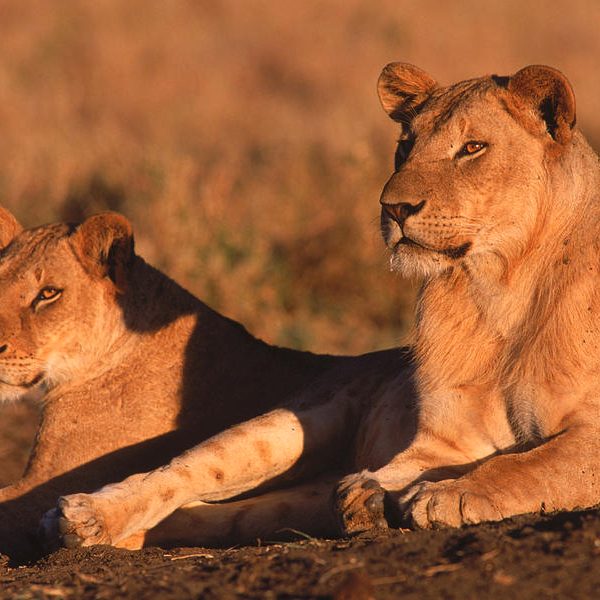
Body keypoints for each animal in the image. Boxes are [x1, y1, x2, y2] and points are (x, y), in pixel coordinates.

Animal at [44, 64, 600, 548]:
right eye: (405, 146)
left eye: (473, 147)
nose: (394, 207)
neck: (499, 286)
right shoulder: (440, 441)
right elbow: (412, 467)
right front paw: (376, 492)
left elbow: (528, 464)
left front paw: (446, 494)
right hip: (284, 428)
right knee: (177, 473)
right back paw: (81, 517)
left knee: (207, 514)